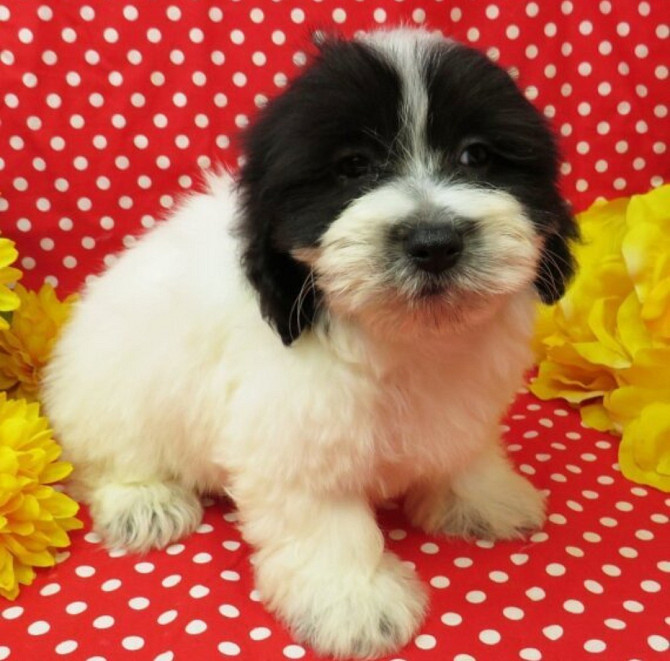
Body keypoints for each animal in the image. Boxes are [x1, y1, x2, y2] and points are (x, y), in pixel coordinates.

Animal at [43, 27, 576, 660]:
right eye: (353, 167)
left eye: (476, 156)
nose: (434, 241)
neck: (400, 335)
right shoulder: (294, 432)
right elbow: (325, 519)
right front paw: (353, 601)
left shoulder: (461, 401)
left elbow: (463, 450)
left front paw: (482, 495)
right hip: (111, 394)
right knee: (106, 457)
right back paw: (143, 501)